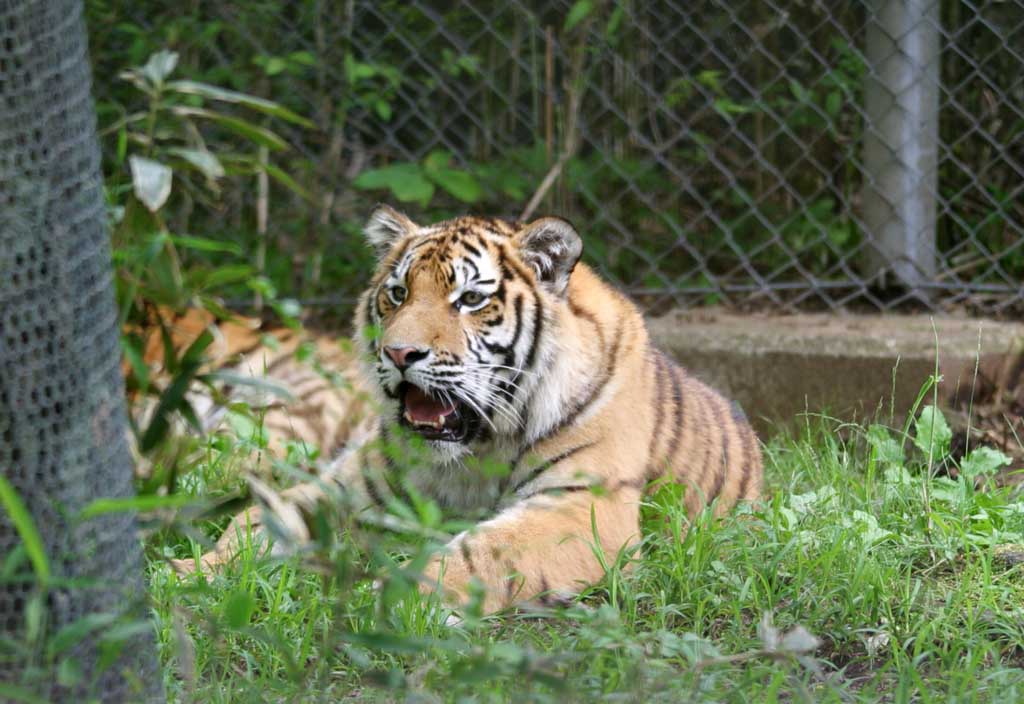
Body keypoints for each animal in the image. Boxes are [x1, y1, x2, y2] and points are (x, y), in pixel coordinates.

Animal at [169, 206, 761, 613]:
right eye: (398, 293)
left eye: (471, 299)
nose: (398, 353)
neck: (479, 446)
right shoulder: (348, 486)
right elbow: (253, 521)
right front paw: (187, 572)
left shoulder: (584, 508)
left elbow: (481, 552)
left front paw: (393, 601)